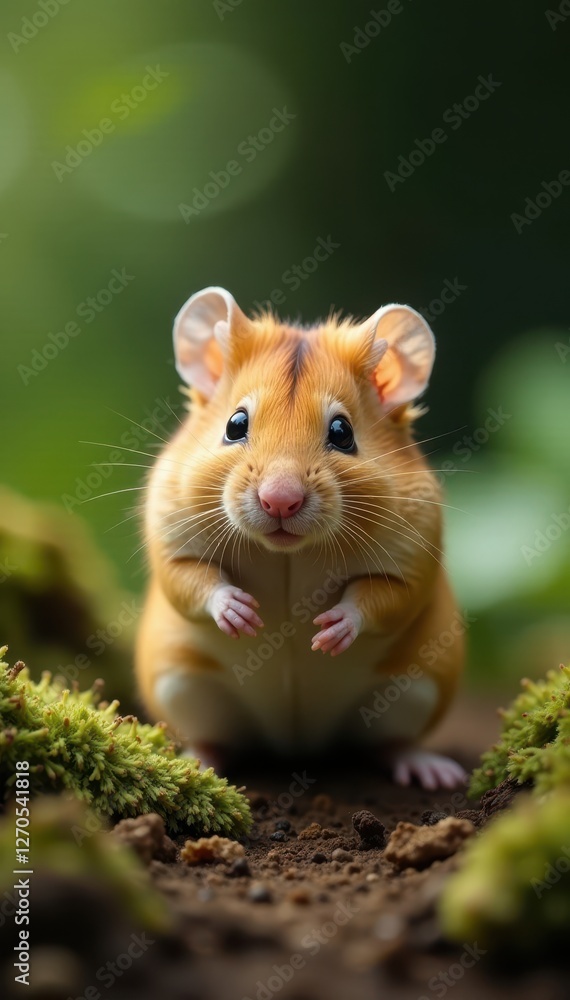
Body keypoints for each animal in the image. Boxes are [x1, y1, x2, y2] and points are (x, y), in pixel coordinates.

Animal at [135, 286, 466, 789]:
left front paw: (328, 631)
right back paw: (197, 761)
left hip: (415, 688)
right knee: (215, 738)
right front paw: (242, 614)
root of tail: (297, 744)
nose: (280, 501)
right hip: (184, 688)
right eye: (235, 425)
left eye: (342, 432)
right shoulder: (171, 539)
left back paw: (433, 772)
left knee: (391, 741)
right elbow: (192, 580)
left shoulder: (414, 560)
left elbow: (382, 597)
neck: (286, 552)